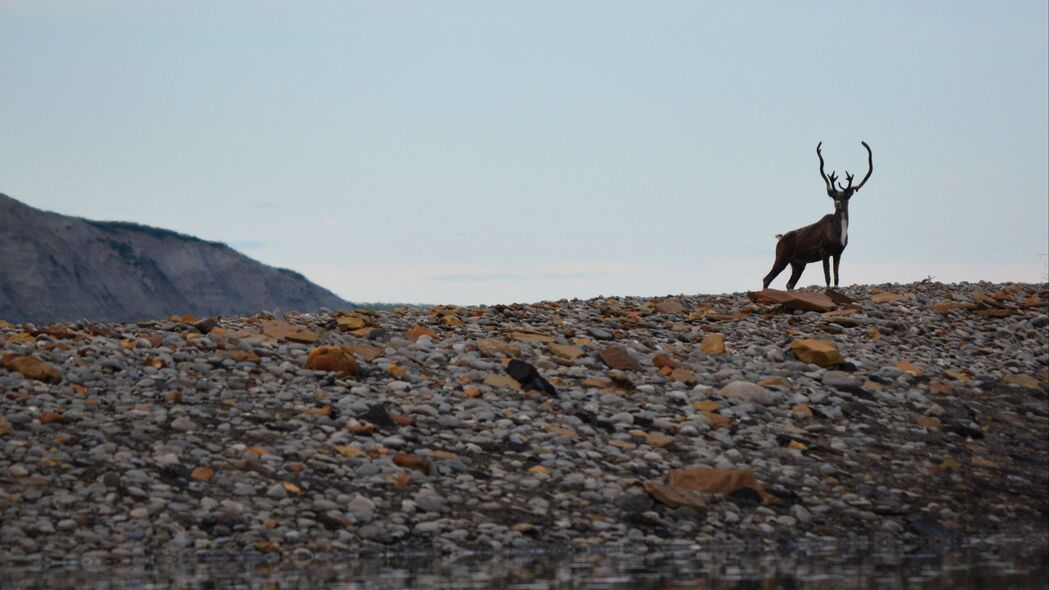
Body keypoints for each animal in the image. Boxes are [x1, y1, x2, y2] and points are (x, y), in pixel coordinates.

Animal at [759, 141, 872, 289]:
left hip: (798, 264)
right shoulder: (824, 251)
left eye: (846, 196)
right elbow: (828, 278)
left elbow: (836, 278)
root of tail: (780, 238)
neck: (840, 230)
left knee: (789, 284)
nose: (837, 204)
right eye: (834, 196)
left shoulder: (838, 252)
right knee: (767, 278)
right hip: (781, 257)